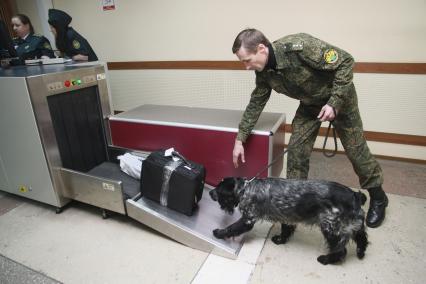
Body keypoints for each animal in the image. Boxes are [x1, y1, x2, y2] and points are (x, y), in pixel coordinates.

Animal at [208, 176, 368, 266]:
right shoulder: (286, 217)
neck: (246, 189)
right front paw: (280, 240)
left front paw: (218, 233)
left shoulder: (248, 219)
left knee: (341, 250)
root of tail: (355, 195)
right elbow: (286, 231)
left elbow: (231, 228)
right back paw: (360, 253)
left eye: (219, 190)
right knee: (362, 237)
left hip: (331, 227)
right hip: (351, 224)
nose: (209, 192)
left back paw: (326, 260)